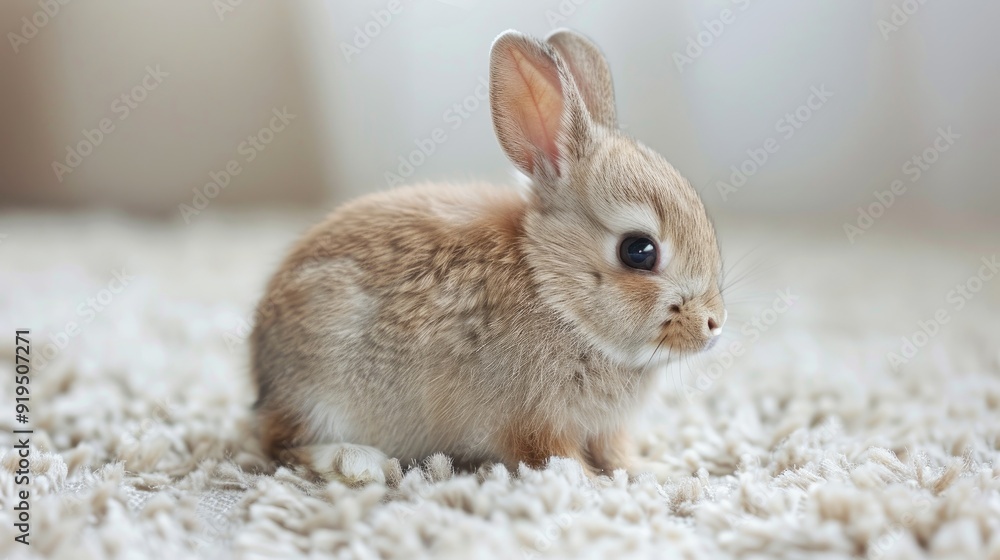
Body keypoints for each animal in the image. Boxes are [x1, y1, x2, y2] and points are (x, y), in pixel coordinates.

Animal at [250, 28, 726, 485]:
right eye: (638, 251)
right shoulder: (531, 418)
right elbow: (554, 457)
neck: (555, 291)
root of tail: (263, 372)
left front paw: (655, 471)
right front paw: (585, 482)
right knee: (280, 444)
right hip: (322, 386)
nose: (714, 324)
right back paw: (356, 463)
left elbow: (616, 454)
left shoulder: (605, 428)